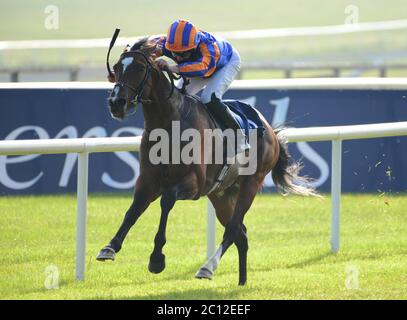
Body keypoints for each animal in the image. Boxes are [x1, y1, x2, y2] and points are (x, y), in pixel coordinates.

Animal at [96, 37, 318, 284]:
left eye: (140, 68)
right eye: (116, 67)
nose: (116, 102)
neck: (170, 123)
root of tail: (270, 129)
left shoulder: (193, 183)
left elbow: (167, 200)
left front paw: (157, 258)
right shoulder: (148, 180)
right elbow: (133, 211)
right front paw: (110, 247)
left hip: (251, 183)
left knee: (233, 230)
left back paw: (207, 267)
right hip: (221, 194)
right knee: (241, 234)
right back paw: (241, 282)